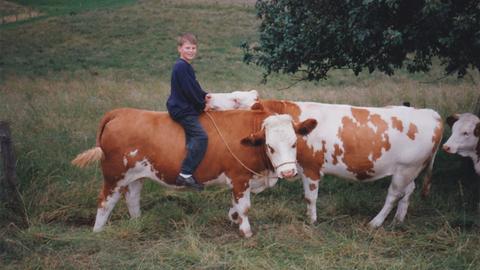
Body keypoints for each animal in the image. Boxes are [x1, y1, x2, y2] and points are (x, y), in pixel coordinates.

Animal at [71, 105, 316, 236]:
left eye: (294, 143)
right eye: (270, 146)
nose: (288, 173)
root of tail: (121, 112)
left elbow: (236, 206)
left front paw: (233, 217)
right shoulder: (240, 178)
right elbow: (245, 206)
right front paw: (246, 231)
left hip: (135, 176)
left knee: (132, 198)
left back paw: (137, 222)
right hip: (114, 176)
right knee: (105, 201)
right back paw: (98, 231)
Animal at [208, 95, 444, 228]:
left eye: (236, 100)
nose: (208, 98)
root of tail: (432, 114)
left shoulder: (310, 168)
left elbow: (310, 197)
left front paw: (311, 220)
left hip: (405, 169)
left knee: (393, 195)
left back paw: (376, 223)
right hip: (409, 170)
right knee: (408, 191)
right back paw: (398, 220)